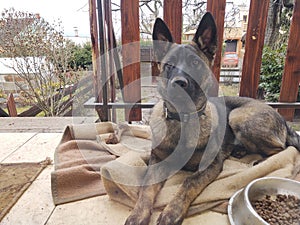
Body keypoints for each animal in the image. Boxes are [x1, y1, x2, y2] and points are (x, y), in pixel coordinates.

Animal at [123, 12, 300, 225]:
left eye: (195, 64)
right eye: (169, 66)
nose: (179, 84)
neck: (183, 121)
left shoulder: (209, 166)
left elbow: (189, 182)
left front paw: (172, 211)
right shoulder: (157, 161)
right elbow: (147, 187)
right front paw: (138, 213)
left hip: (237, 117)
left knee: (283, 148)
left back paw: (259, 161)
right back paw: (241, 151)